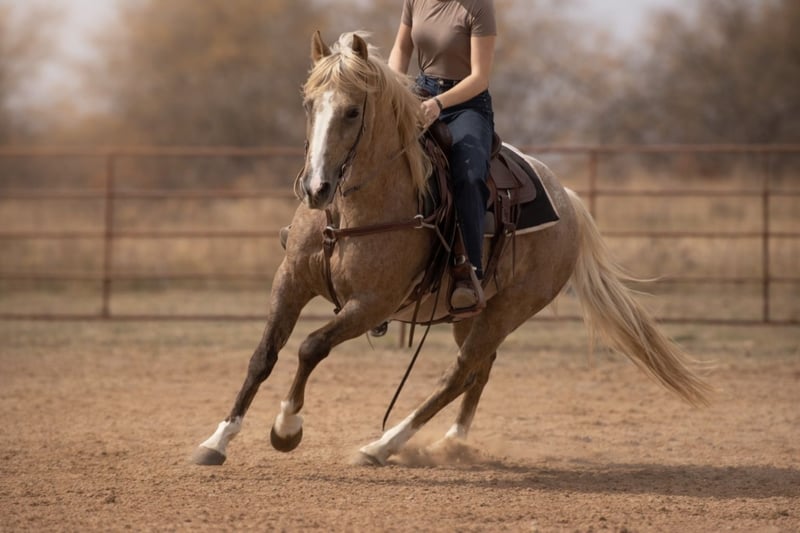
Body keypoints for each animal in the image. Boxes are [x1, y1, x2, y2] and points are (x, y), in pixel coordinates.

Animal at [192, 31, 712, 467]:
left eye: (352, 111)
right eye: (308, 105)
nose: (316, 188)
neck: (347, 213)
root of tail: (568, 200)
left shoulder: (371, 303)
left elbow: (310, 346)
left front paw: (286, 428)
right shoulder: (291, 280)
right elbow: (264, 354)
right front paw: (217, 440)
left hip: (509, 309)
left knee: (457, 374)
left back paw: (382, 446)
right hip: (474, 313)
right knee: (480, 369)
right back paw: (451, 442)